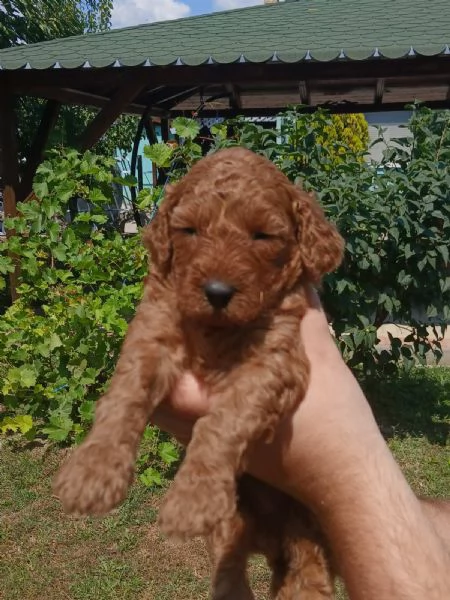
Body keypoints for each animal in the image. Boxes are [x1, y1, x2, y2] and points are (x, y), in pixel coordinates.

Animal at [54, 146, 342, 600]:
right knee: (230, 569)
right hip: (233, 528)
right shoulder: (153, 328)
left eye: (262, 236)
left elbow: (224, 419)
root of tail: (268, 541)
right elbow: (125, 394)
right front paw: (92, 470)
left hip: (306, 518)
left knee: (307, 564)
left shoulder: (274, 359)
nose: (217, 292)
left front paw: (193, 499)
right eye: (189, 230)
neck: (215, 330)